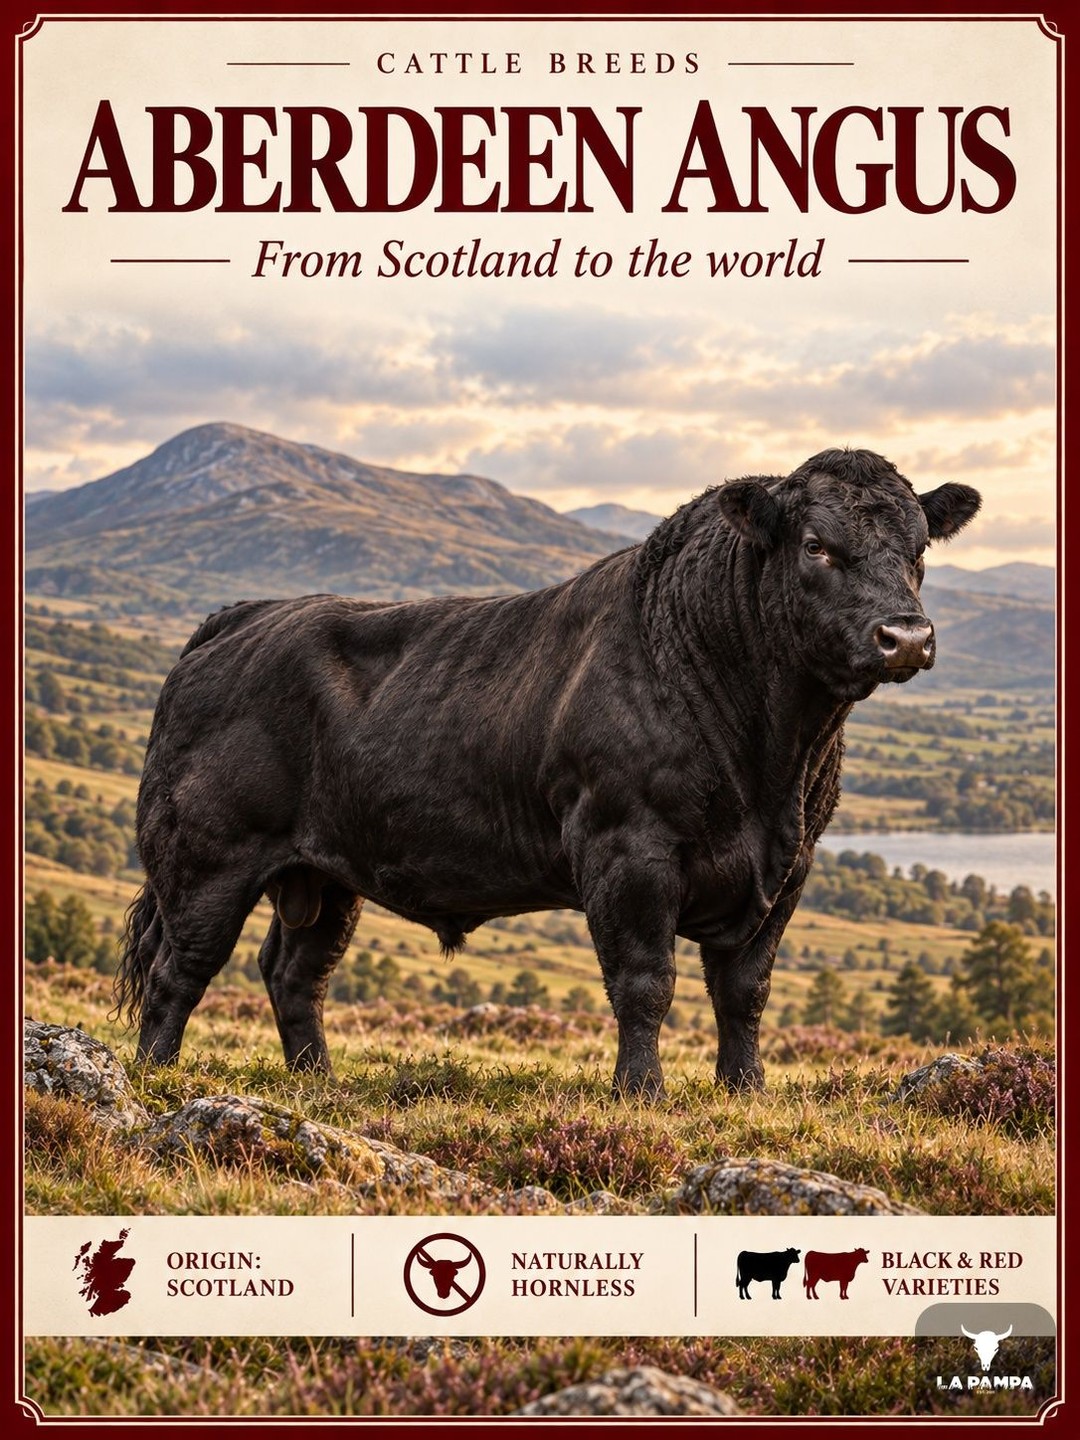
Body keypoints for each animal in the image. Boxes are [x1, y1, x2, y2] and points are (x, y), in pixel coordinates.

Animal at [114, 447, 980, 1098]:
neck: (773, 766)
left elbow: (743, 990)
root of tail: (242, 616)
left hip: (324, 874)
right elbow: (645, 981)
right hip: (207, 859)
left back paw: (317, 1083)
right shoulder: (627, 847)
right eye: (815, 545)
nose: (906, 635)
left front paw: (743, 1092)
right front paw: (642, 1093)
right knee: (178, 967)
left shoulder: (788, 868)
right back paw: (155, 1078)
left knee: (295, 973)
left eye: (919, 550)